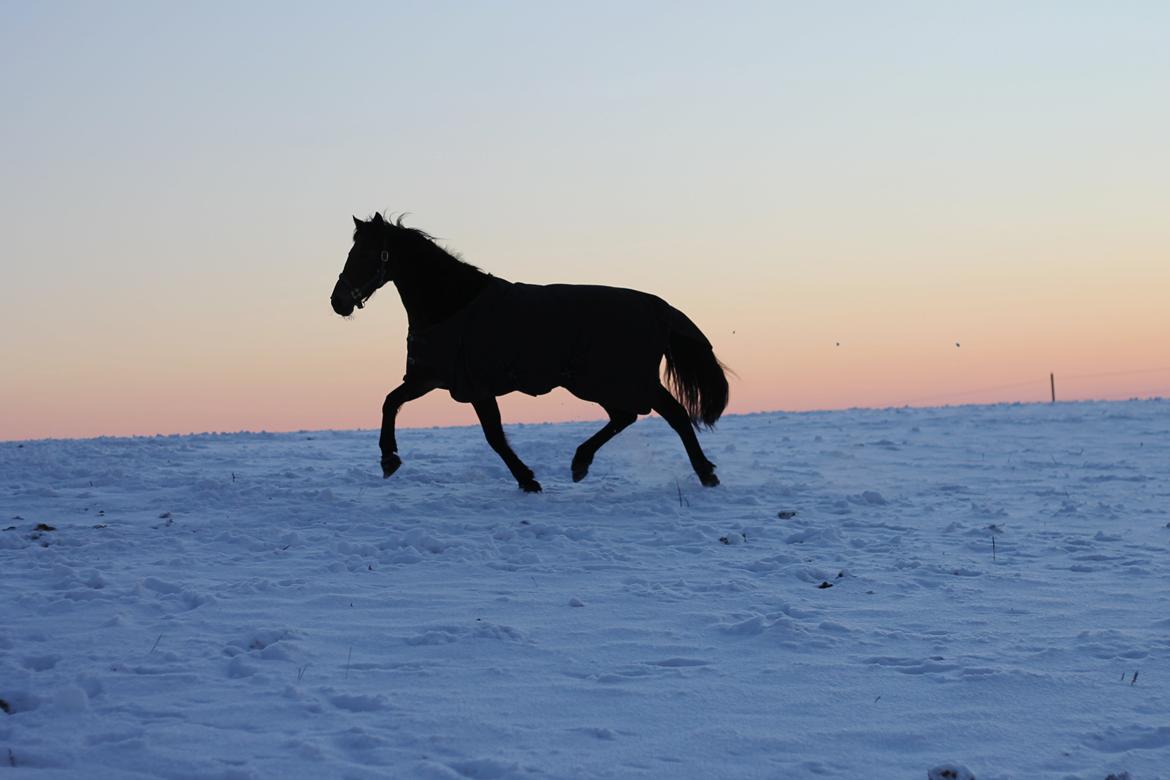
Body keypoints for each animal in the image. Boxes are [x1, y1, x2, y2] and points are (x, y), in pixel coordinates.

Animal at [332, 214, 730, 493]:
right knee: (637, 416)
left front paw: (527, 479)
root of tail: (659, 307)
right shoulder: (429, 376)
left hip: (609, 380)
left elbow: (494, 436)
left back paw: (700, 472)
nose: (338, 302)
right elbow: (390, 402)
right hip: (601, 381)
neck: (452, 304)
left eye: (366, 253)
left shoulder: (475, 387)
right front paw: (389, 459)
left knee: (664, 414)